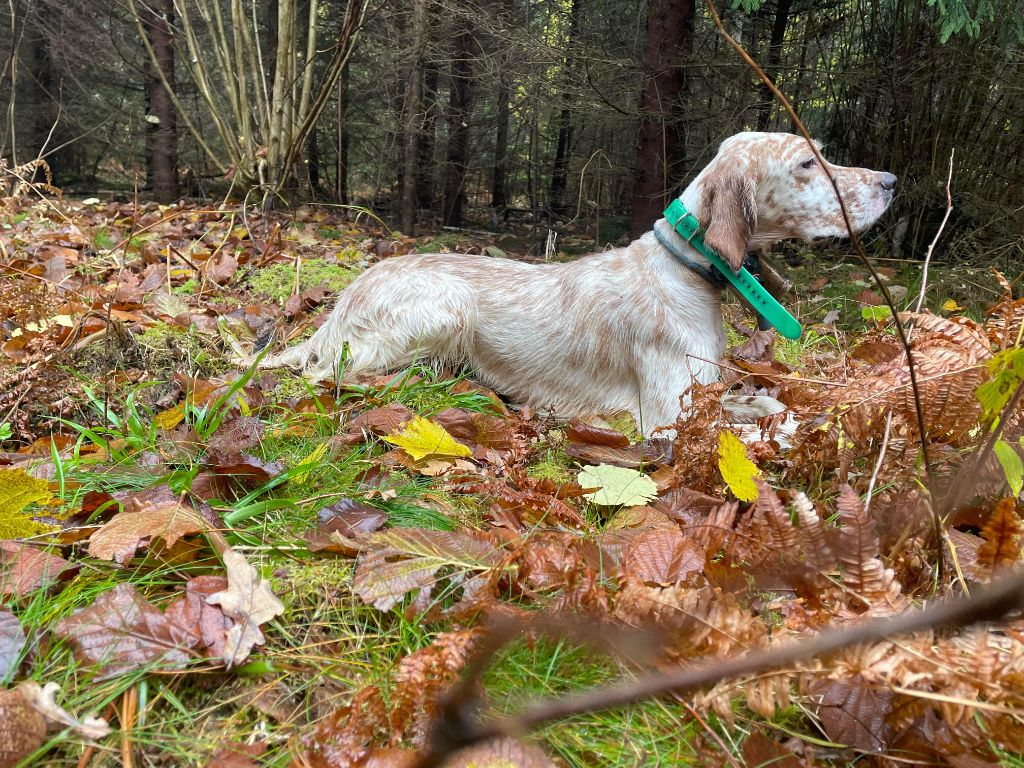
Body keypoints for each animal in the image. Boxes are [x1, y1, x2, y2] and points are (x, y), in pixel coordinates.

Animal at [264, 132, 897, 434]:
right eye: (807, 163)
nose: (891, 181)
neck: (681, 272)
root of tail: (343, 303)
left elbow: (761, 402)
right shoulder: (663, 420)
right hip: (446, 310)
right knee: (330, 373)